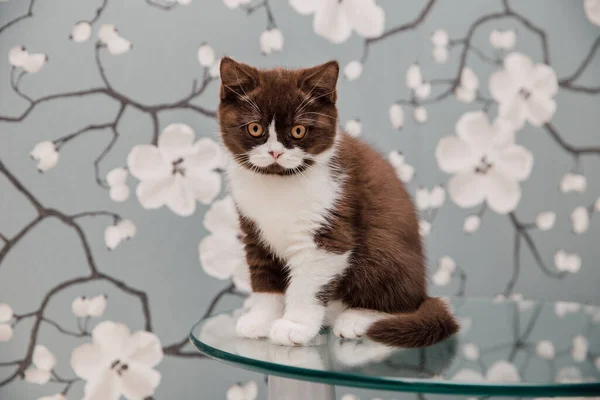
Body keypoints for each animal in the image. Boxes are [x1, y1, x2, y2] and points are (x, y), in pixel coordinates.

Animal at [218, 57, 458, 348]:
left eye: (298, 130)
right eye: (255, 128)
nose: (275, 152)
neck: (279, 184)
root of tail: (423, 291)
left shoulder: (331, 226)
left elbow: (307, 283)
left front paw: (294, 325)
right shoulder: (253, 229)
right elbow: (263, 277)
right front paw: (261, 319)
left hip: (382, 248)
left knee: (398, 299)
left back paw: (358, 318)